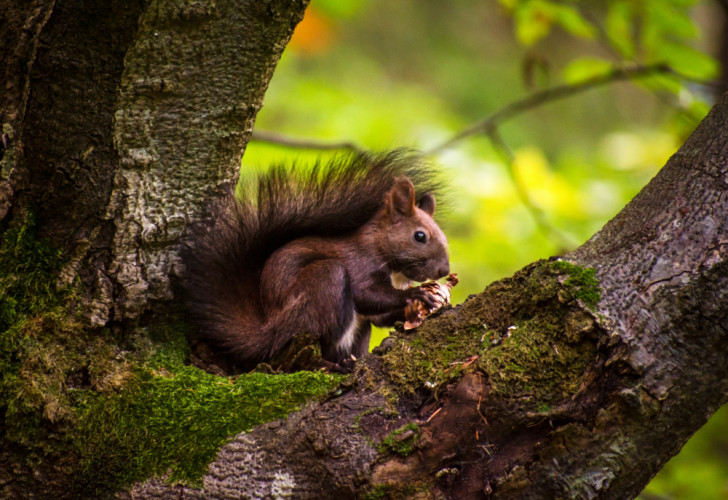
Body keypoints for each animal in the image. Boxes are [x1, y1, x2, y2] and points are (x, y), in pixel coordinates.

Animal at [182, 149, 450, 372]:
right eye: (420, 236)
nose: (444, 270)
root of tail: (268, 331)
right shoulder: (359, 263)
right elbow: (366, 295)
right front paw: (414, 295)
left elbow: (376, 316)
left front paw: (414, 309)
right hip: (322, 286)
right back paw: (331, 365)